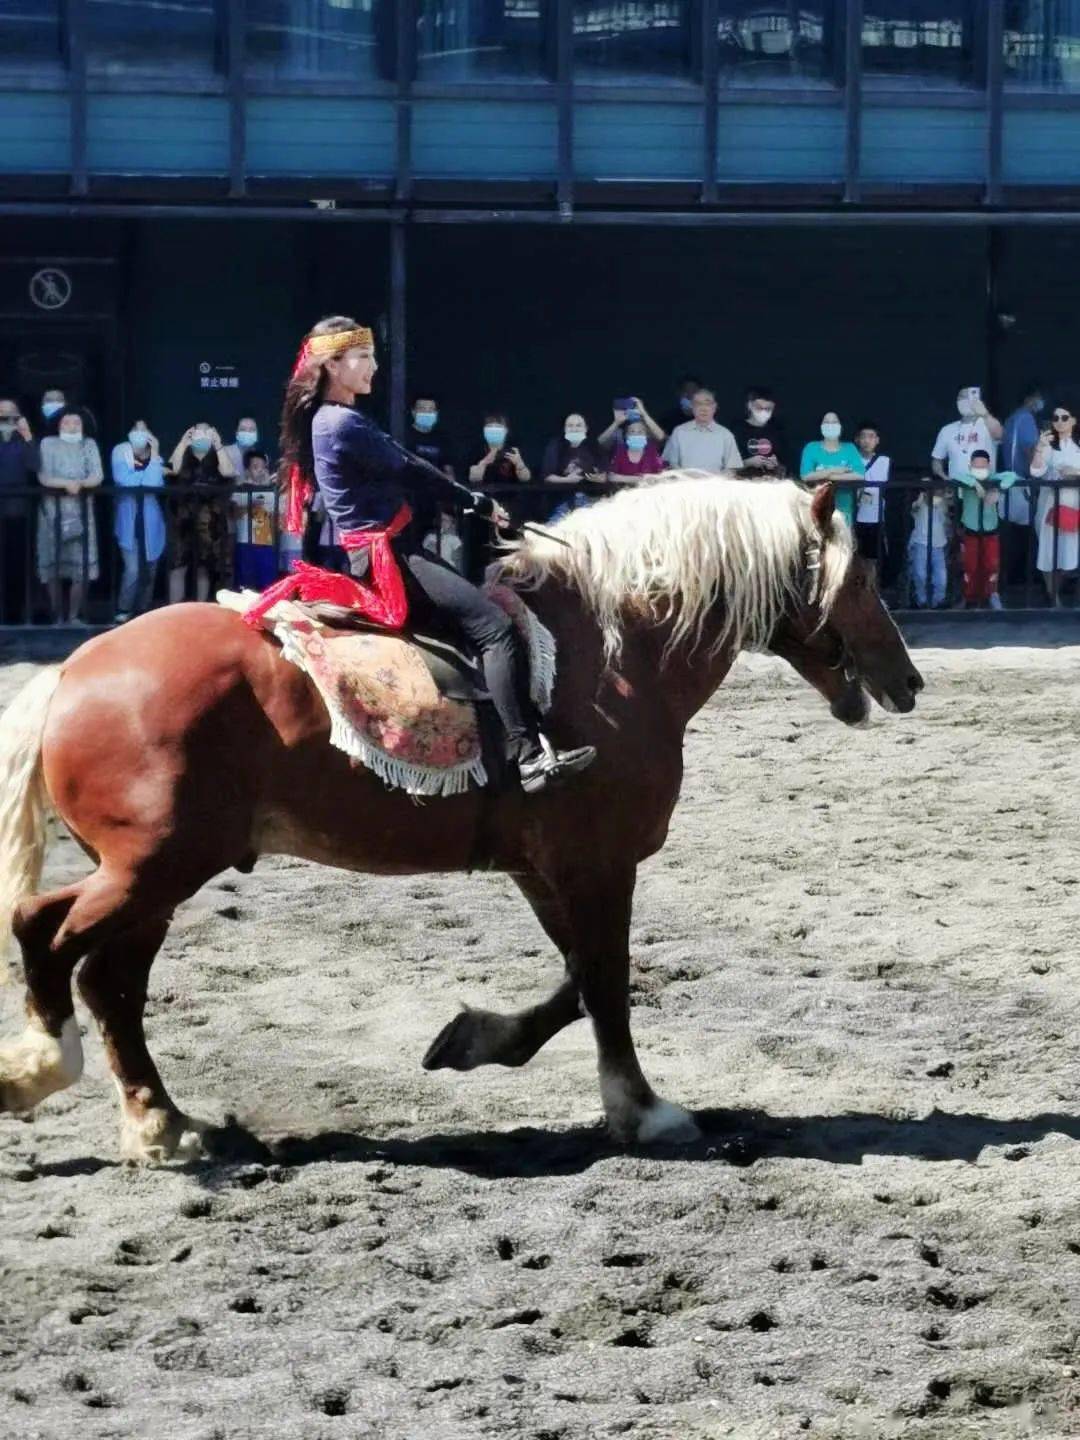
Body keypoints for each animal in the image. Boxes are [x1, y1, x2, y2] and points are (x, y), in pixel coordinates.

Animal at [0, 478, 921, 1163]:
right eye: (863, 580)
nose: (908, 680)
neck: (614, 656)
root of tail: (75, 670)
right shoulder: (597, 863)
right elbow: (607, 981)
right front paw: (644, 1110)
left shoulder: (545, 866)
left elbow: (578, 980)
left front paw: (476, 1040)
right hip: (154, 866)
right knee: (47, 933)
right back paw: (45, 1068)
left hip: (158, 877)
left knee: (109, 981)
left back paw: (161, 1123)